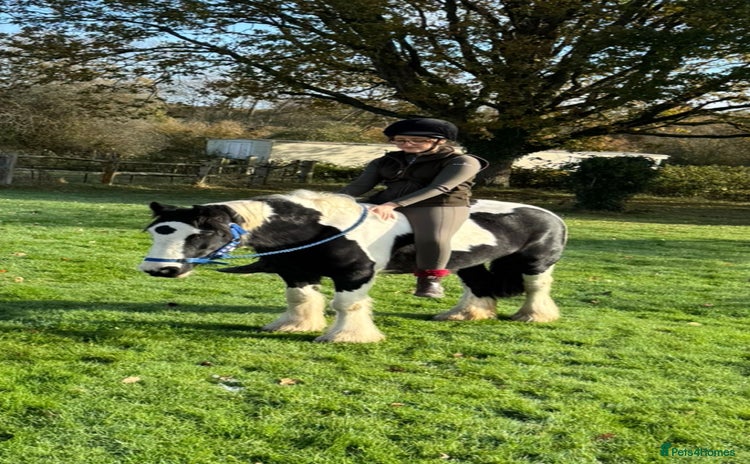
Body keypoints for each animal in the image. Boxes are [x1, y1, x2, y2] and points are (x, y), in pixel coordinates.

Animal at [139, 190, 567, 343]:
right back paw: (464, 316)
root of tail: (551, 215)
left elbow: (347, 305)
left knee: (535, 288)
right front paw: (295, 326)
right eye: (157, 232)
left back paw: (534, 317)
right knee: (477, 285)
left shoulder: (354, 275)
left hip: (537, 262)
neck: (320, 226)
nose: (158, 269)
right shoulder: (297, 272)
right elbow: (299, 299)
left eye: (200, 234)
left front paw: (347, 336)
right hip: (468, 263)